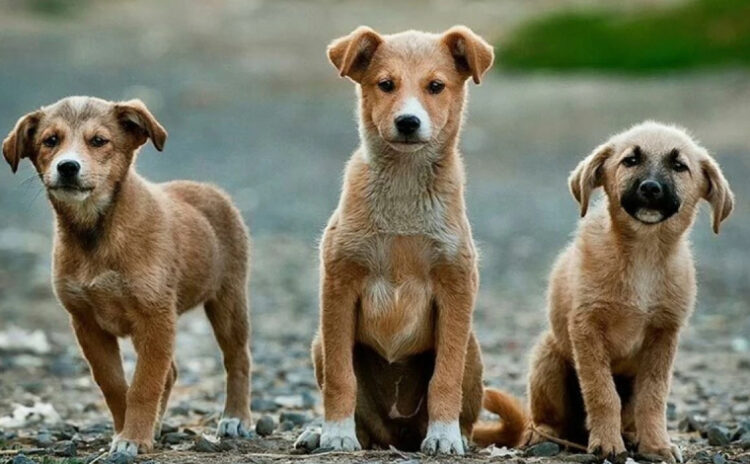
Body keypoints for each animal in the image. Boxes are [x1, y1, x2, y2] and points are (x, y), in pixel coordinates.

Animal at [1, 96, 256, 454]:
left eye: (98, 141)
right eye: (50, 140)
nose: (68, 167)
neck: (96, 234)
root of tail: (209, 189)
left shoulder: (155, 317)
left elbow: (144, 385)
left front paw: (133, 438)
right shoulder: (87, 323)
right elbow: (114, 384)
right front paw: (127, 432)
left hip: (228, 300)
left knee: (237, 359)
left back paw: (236, 418)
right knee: (171, 372)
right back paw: (158, 426)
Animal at [296, 26, 496, 456]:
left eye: (436, 86)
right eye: (385, 84)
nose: (407, 122)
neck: (404, 189)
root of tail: (397, 434)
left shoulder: (457, 285)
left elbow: (445, 377)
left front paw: (444, 435)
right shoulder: (339, 284)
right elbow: (341, 377)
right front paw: (335, 433)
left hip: (472, 349)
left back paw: (456, 434)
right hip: (319, 342)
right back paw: (321, 432)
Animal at [476, 121, 736, 462]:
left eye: (679, 166)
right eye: (630, 160)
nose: (650, 188)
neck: (643, 255)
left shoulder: (664, 335)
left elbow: (653, 397)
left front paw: (656, 445)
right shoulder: (587, 328)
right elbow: (602, 393)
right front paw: (607, 443)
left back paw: (632, 435)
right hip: (548, 357)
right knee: (544, 419)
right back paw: (546, 436)